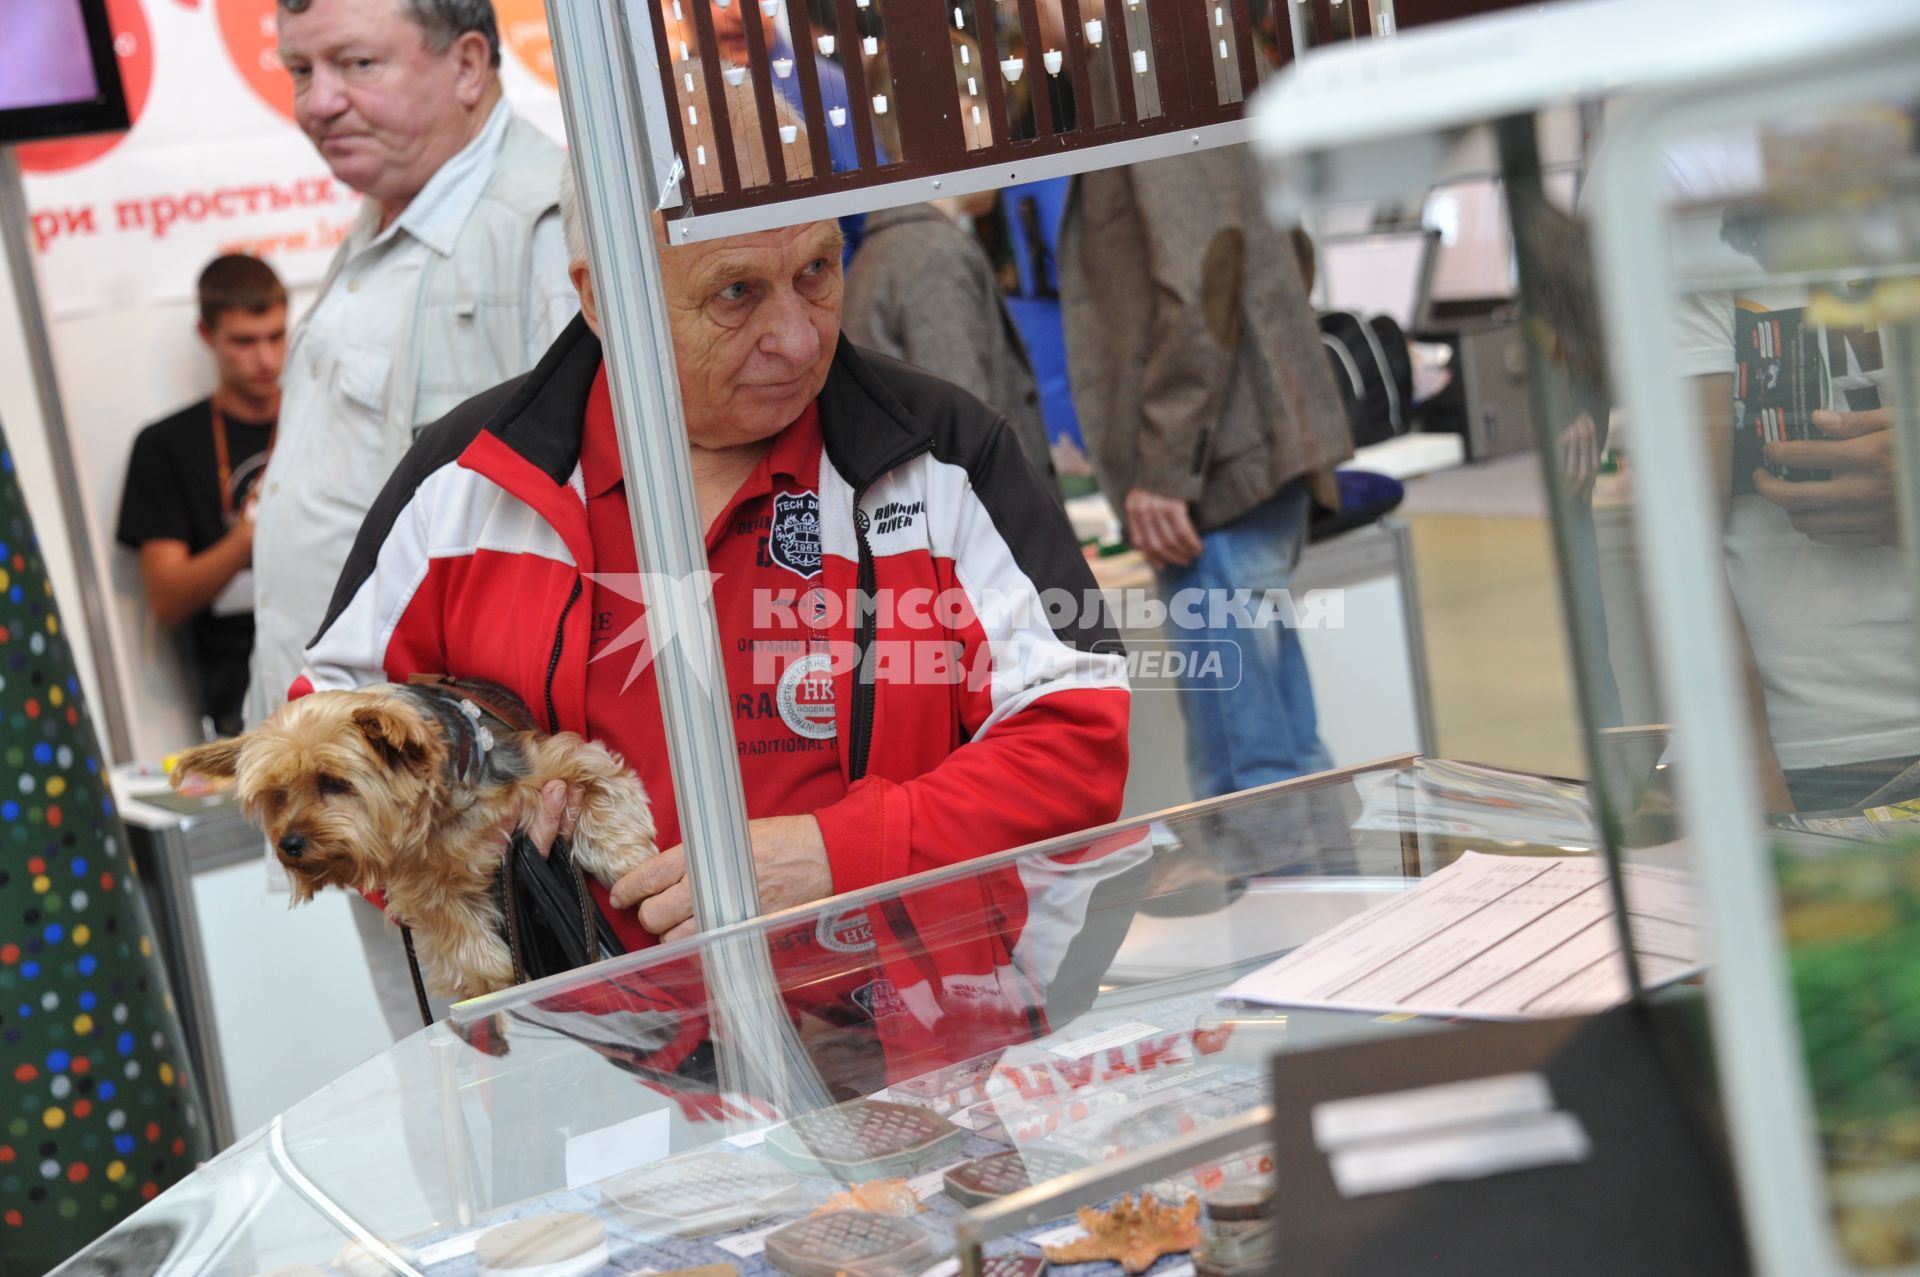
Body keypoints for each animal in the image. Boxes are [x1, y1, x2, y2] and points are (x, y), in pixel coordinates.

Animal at [174, 683, 652, 998]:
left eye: (333, 782)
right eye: (277, 795)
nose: (289, 844)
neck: (445, 812)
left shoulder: (551, 762)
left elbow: (599, 779)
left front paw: (628, 863)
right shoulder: (412, 871)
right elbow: (444, 916)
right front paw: (492, 977)